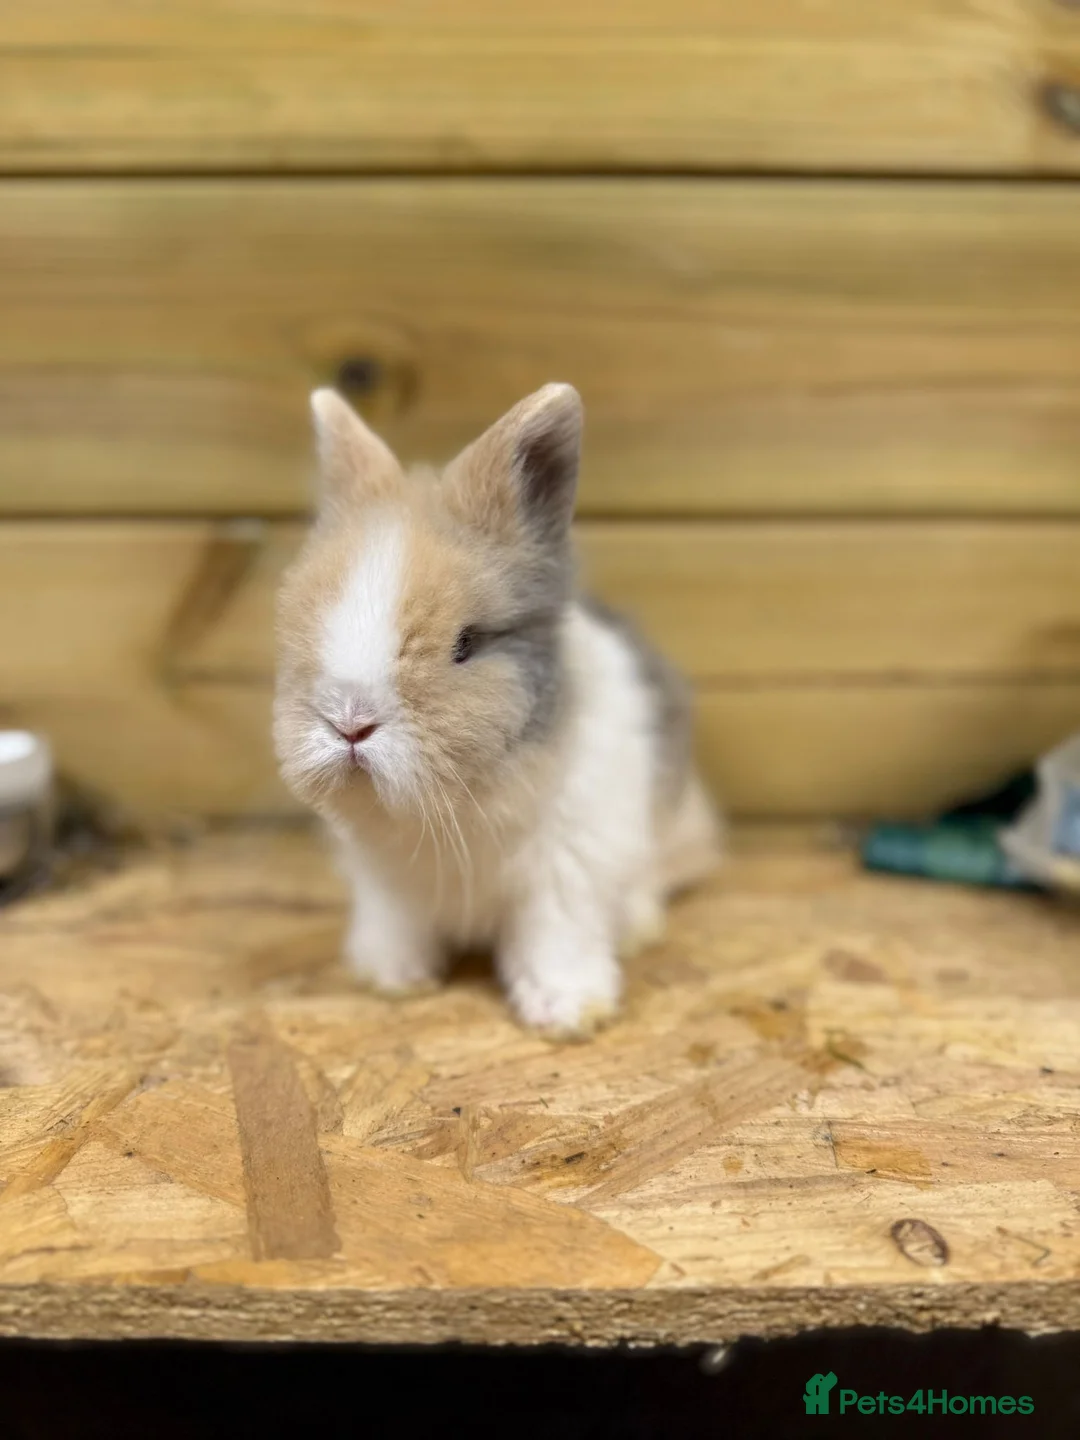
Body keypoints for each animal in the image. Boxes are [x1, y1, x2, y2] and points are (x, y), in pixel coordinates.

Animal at [273, 382, 722, 1036]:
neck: (456, 809)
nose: (350, 722)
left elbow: (556, 941)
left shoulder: (566, 875)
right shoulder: (388, 883)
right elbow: (398, 927)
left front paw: (567, 1013)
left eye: (466, 643)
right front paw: (391, 979)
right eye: (301, 626)